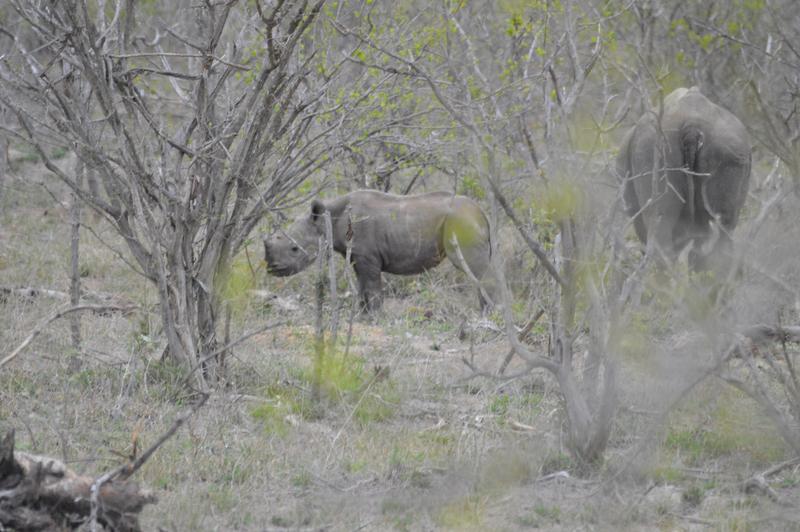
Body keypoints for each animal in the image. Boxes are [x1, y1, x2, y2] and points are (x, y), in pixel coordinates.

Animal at [266, 190, 490, 312]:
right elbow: (363, 287)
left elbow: (372, 289)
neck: (329, 218)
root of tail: (481, 211)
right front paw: (364, 317)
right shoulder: (358, 257)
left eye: (294, 249)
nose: (272, 269)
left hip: (461, 221)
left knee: (475, 269)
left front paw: (375, 317)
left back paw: (489, 314)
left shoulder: (367, 257)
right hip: (464, 220)